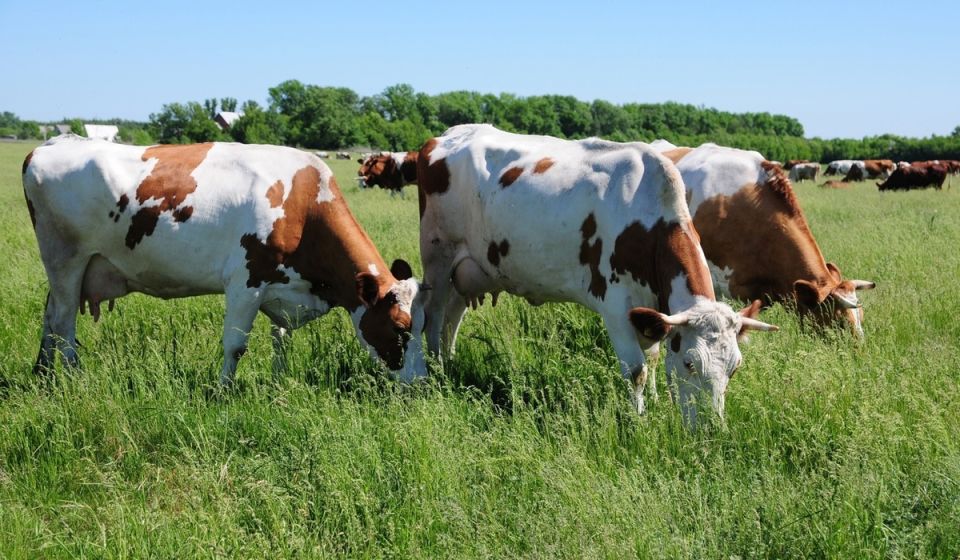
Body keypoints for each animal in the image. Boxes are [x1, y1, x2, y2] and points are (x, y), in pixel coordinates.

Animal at [22, 135, 427, 385]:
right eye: (401, 328)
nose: (422, 382)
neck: (304, 202)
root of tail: (52, 145)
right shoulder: (246, 282)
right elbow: (235, 345)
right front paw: (223, 390)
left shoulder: (281, 285)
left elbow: (280, 339)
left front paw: (279, 381)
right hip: (66, 260)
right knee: (64, 323)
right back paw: (71, 376)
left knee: (50, 315)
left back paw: (43, 374)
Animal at [416, 125, 777, 429]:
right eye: (690, 363)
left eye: (735, 367)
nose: (711, 429)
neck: (648, 222)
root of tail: (447, 135)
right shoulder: (615, 306)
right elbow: (636, 370)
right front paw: (639, 420)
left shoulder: (653, 311)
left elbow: (654, 359)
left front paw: (657, 402)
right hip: (438, 256)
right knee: (434, 315)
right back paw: (436, 370)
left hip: (468, 268)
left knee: (453, 316)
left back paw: (449, 361)